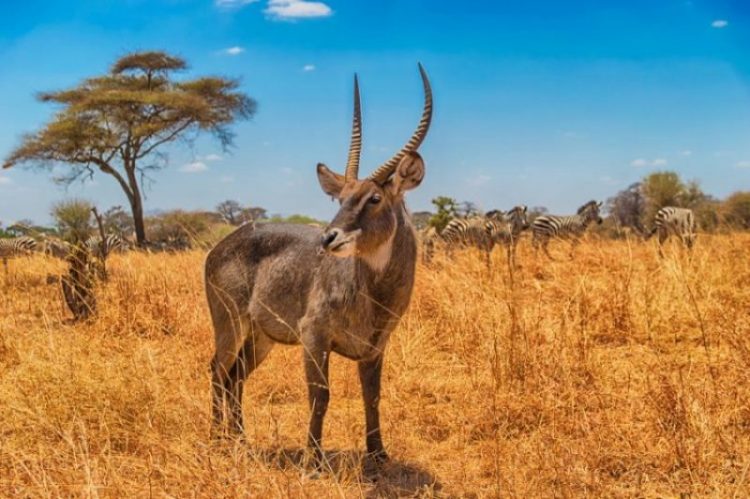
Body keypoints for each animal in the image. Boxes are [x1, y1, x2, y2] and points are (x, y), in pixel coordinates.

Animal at [203, 63, 434, 468]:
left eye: (374, 198)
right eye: (341, 198)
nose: (328, 237)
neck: (374, 294)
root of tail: (222, 244)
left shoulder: (375, 347)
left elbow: (372, 395)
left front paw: (379, 455)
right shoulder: (314, 336)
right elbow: (320, 395)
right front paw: (314, 459)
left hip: (262, 336)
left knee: (236, 377)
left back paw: (240, 439)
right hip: (230, 323)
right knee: (218, 371)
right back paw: (220, 440)